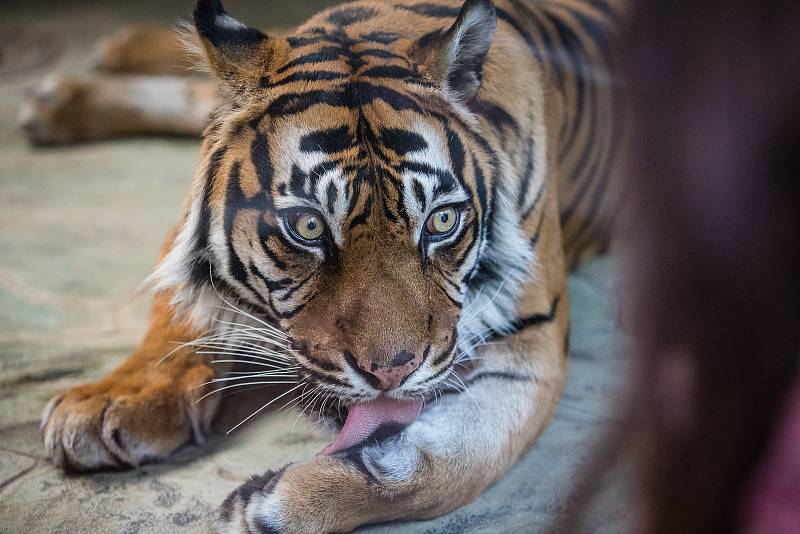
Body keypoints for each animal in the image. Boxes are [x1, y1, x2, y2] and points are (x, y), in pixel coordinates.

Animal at [37, 0, 624, 532]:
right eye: (308, 226)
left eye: (441, 221)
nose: (392, 373)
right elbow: (181, 315)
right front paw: (113, 403)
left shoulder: (531, 349)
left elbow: (448, 467)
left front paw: (277, 507)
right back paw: (79, 82)